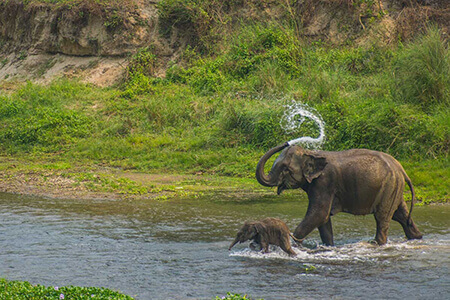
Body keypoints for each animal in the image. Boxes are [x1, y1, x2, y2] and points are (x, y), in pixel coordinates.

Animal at [255, 142, 424, 245]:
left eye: (285, 169)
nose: (287, 142)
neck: (311, 153)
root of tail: (401, 168)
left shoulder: (324, 182)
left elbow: (319, 214)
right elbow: (323, 220)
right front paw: (329, 246)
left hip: (388, 187)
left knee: (382, 218)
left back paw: (376, 243)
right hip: (394, 188)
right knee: (401, 215)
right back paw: (417, 237)